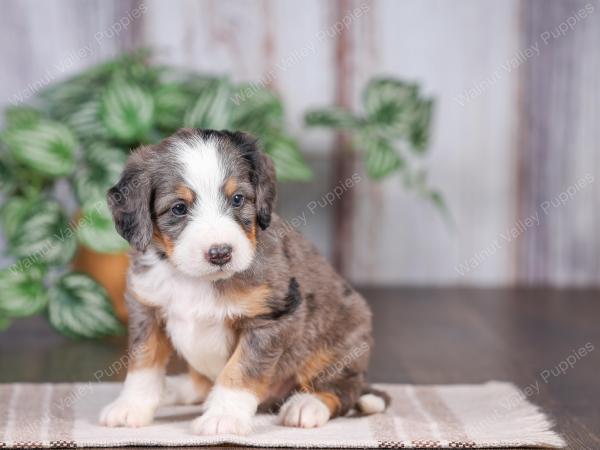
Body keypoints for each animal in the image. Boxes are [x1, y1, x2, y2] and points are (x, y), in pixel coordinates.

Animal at [99, 128, 390, 434]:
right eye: (178, 208)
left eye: (237, 199)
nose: (220, 253)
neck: (194, 279)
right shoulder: (147, 308)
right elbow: (143, 365)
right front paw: (131, 407)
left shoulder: (270, 317)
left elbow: (240, 371)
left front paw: (223, 417)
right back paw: (177, 389)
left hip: (341, 339)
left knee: (344, 389)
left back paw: (307, 405)